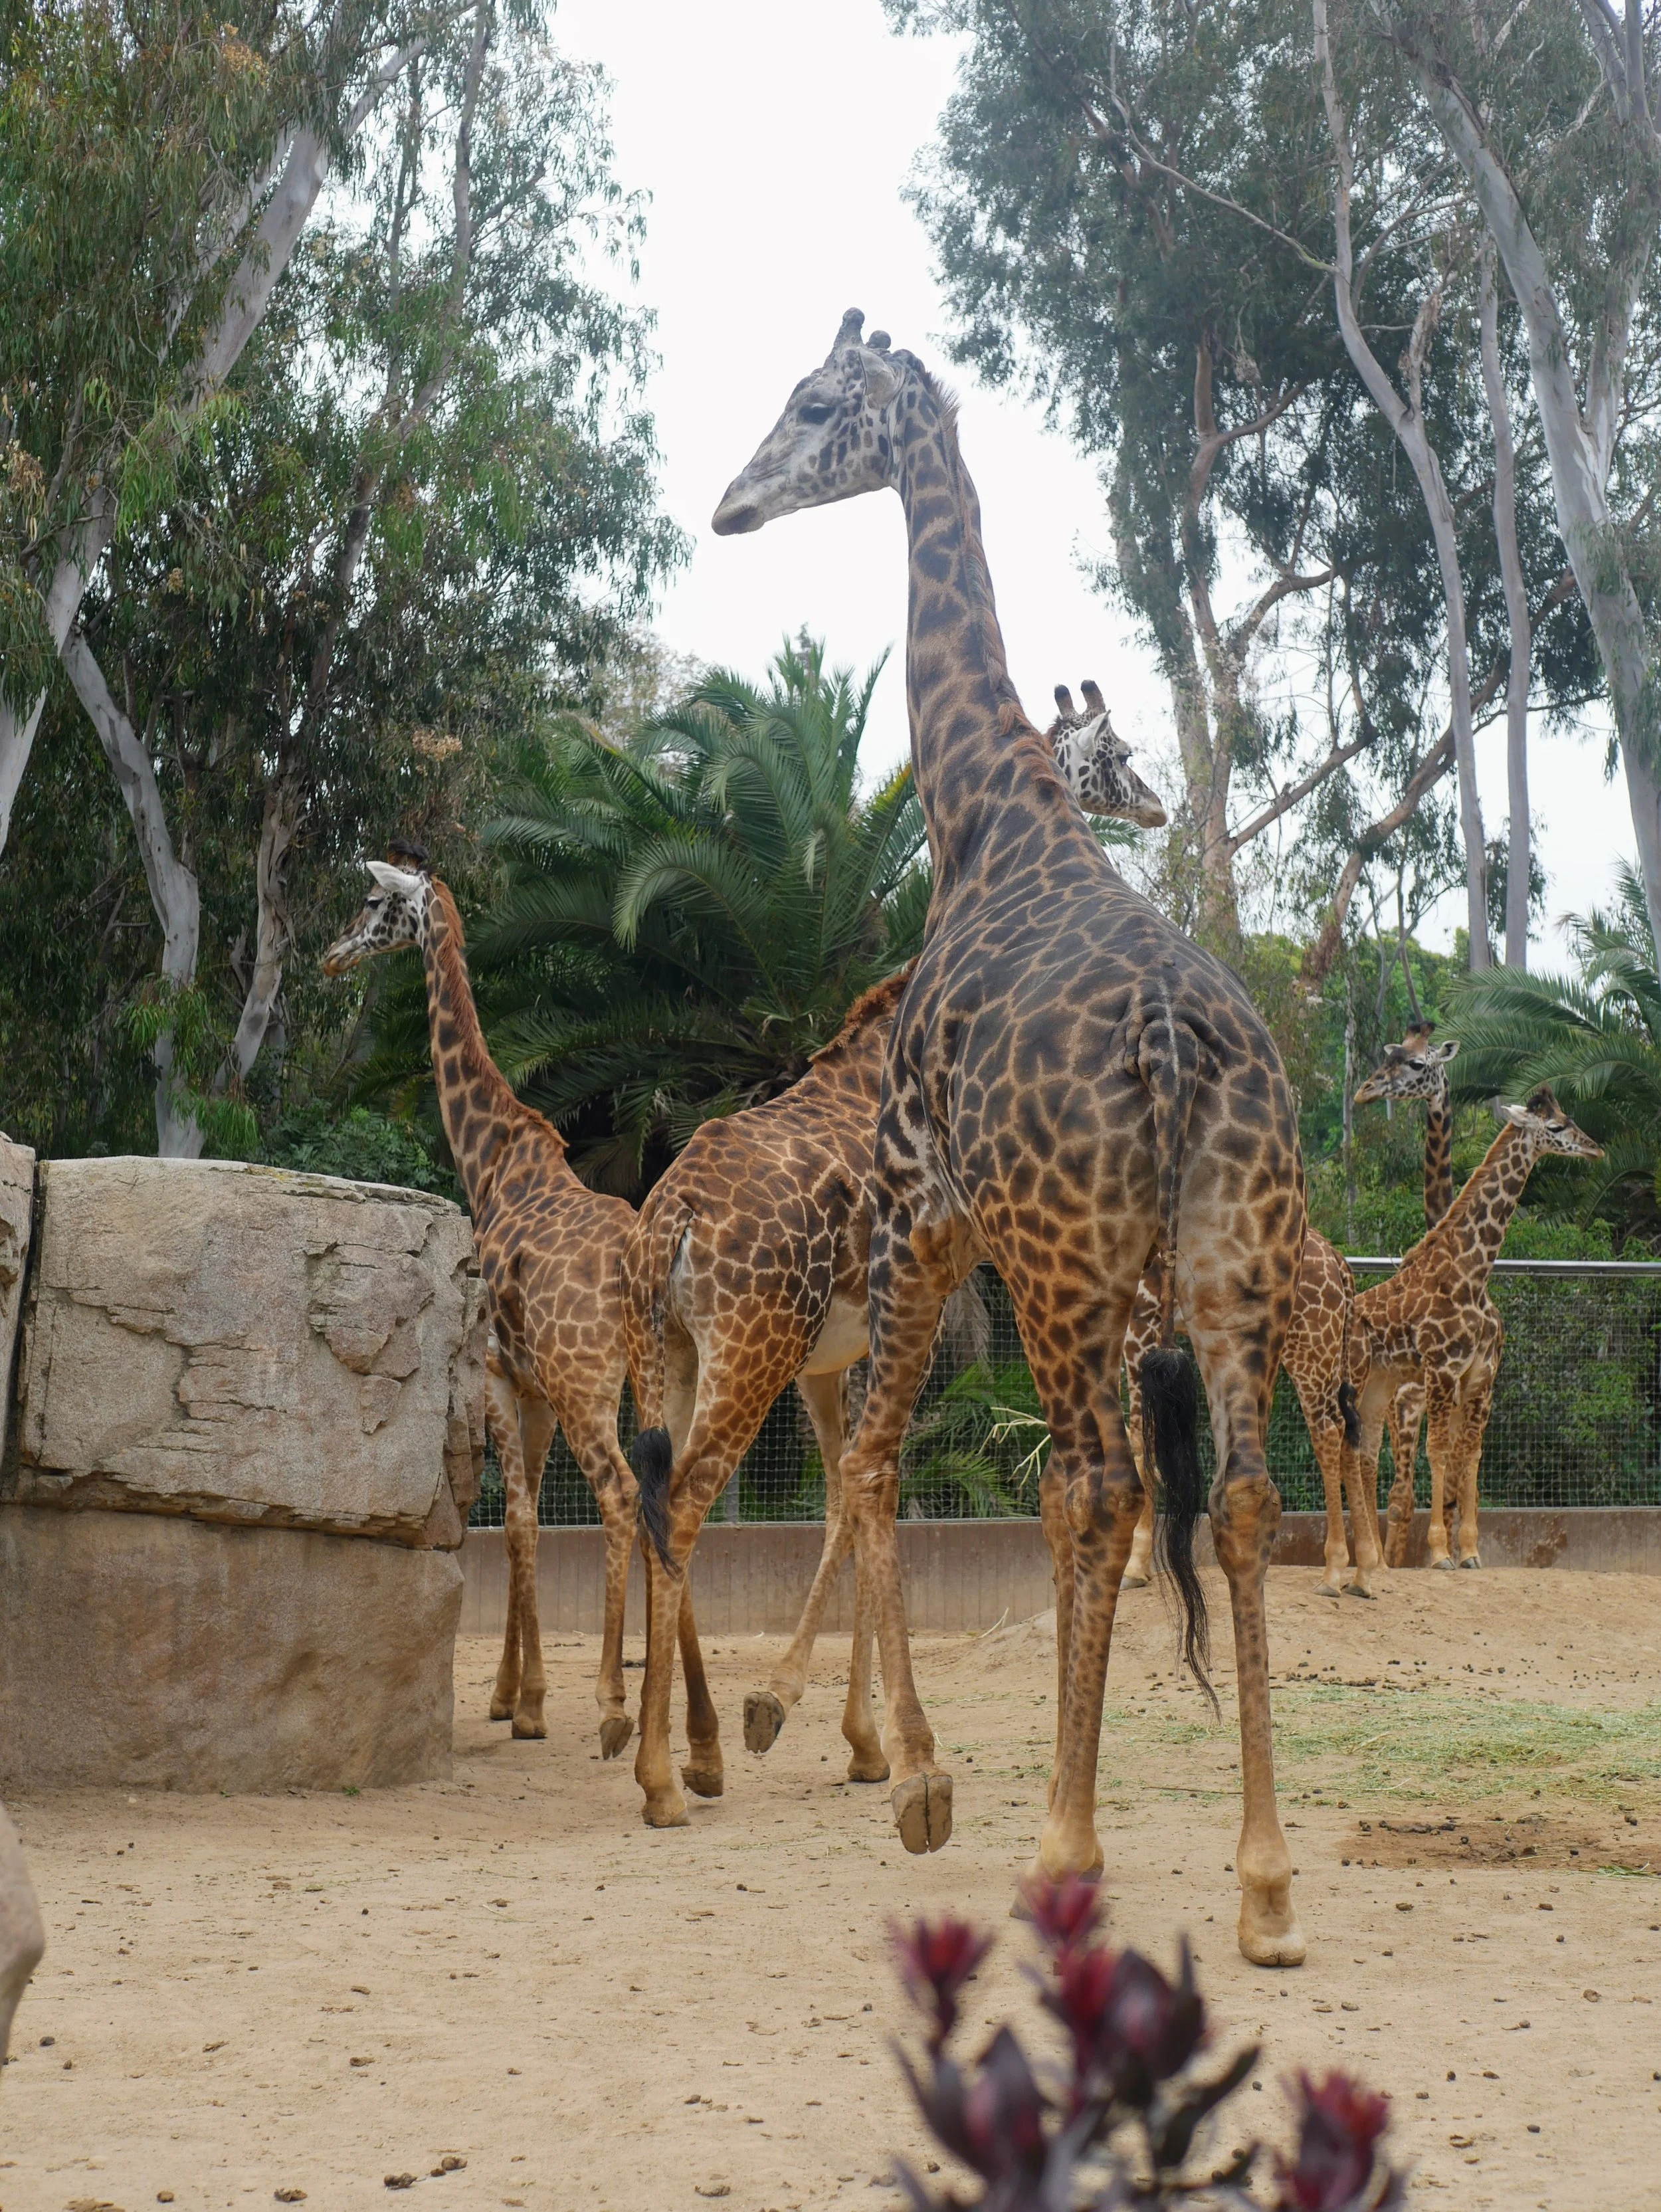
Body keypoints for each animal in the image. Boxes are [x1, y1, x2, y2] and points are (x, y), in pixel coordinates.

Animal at [322, 856, 696, 1758]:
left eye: (372, 900)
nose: (330, 955)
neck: (489, 1159)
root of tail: (638, 1266)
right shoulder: (533, 1391)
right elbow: (525, 1522)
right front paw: (512, 1693)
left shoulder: (497, 1371)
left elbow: (518, 1520)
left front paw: (523, 1703)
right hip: (647, 1371)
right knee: (666, 1491)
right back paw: (670, 1707)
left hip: (587, 1377)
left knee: (620, 1492)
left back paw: (612, 1702)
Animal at [624, 705, 1169, 1829]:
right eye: (1113, 752)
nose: (1154, 806)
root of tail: (671, 1224)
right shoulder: (896, 1311)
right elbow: (875, 1488)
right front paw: (848, 1731)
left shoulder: (832, 1356)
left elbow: (846, 1493)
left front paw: (838, 1732)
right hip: (749, 1347)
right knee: (686, 1502)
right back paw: (661, 1780)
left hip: (676, 1351)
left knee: (652, 1496)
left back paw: (697, 1754)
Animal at [712, 312, 1308, 1967]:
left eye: (814, 403)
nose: (728, 505)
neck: (983, 815)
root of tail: (1173, 1038)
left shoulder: (925, 1211)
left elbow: (877, 1469)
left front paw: (917, 1775)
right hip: (1226, 1258)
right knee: (1241, 1496)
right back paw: (1263, 1882)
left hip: (1060, 1266)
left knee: (1090, 1488)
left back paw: (1060, 1842)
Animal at [1346, 1088, 1602, 1569]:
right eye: (1556, 1126)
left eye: (1571, 1118)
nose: (1596, 1148)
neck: (1473, 1273)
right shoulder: (1442, 1369)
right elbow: (1440, 1451)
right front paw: (1439, 1553)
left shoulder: (1481, 1375)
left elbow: (1470, 1454)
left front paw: (1469, 1551)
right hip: (1355, 1380)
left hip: (1379, 1386)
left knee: (1366, 1456)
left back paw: (1377, 1560)